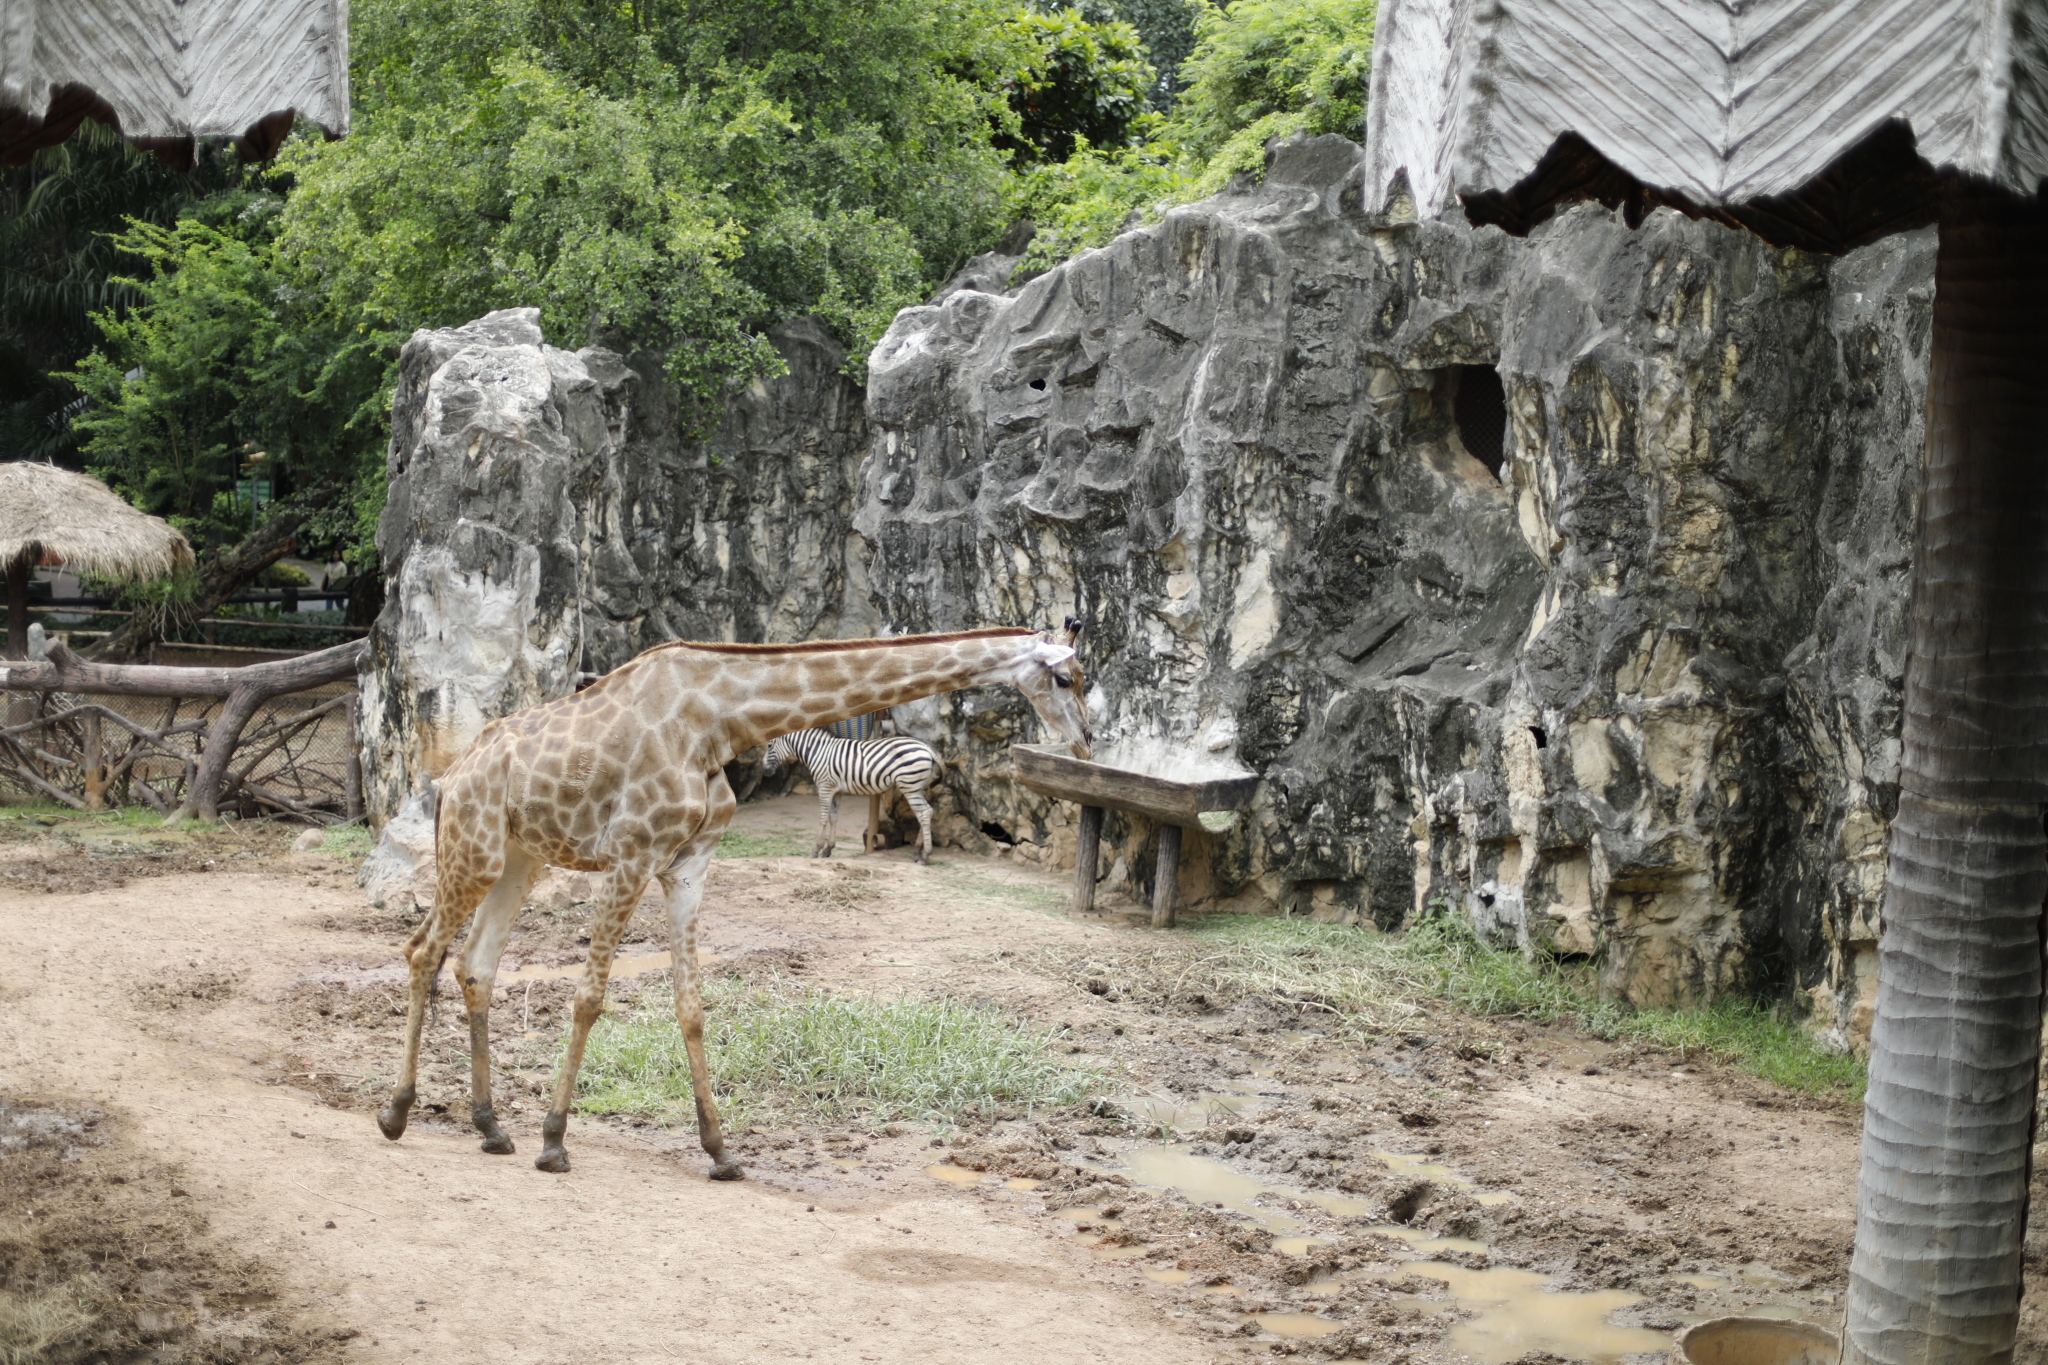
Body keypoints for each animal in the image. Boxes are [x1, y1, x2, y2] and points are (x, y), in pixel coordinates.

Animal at [757, 732, 937, 859]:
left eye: (770, 745)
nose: (764, 771)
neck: (817, 752)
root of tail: (926, 747)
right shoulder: (836, 790)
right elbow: (834, 818)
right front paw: (828, 849)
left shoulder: (824, 787)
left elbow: (823, 818)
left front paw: (816, 849)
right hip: (917, 787)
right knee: (927, 812)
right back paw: (918, 851)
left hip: (910, 785)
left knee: (923, 813)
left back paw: (925, 854)